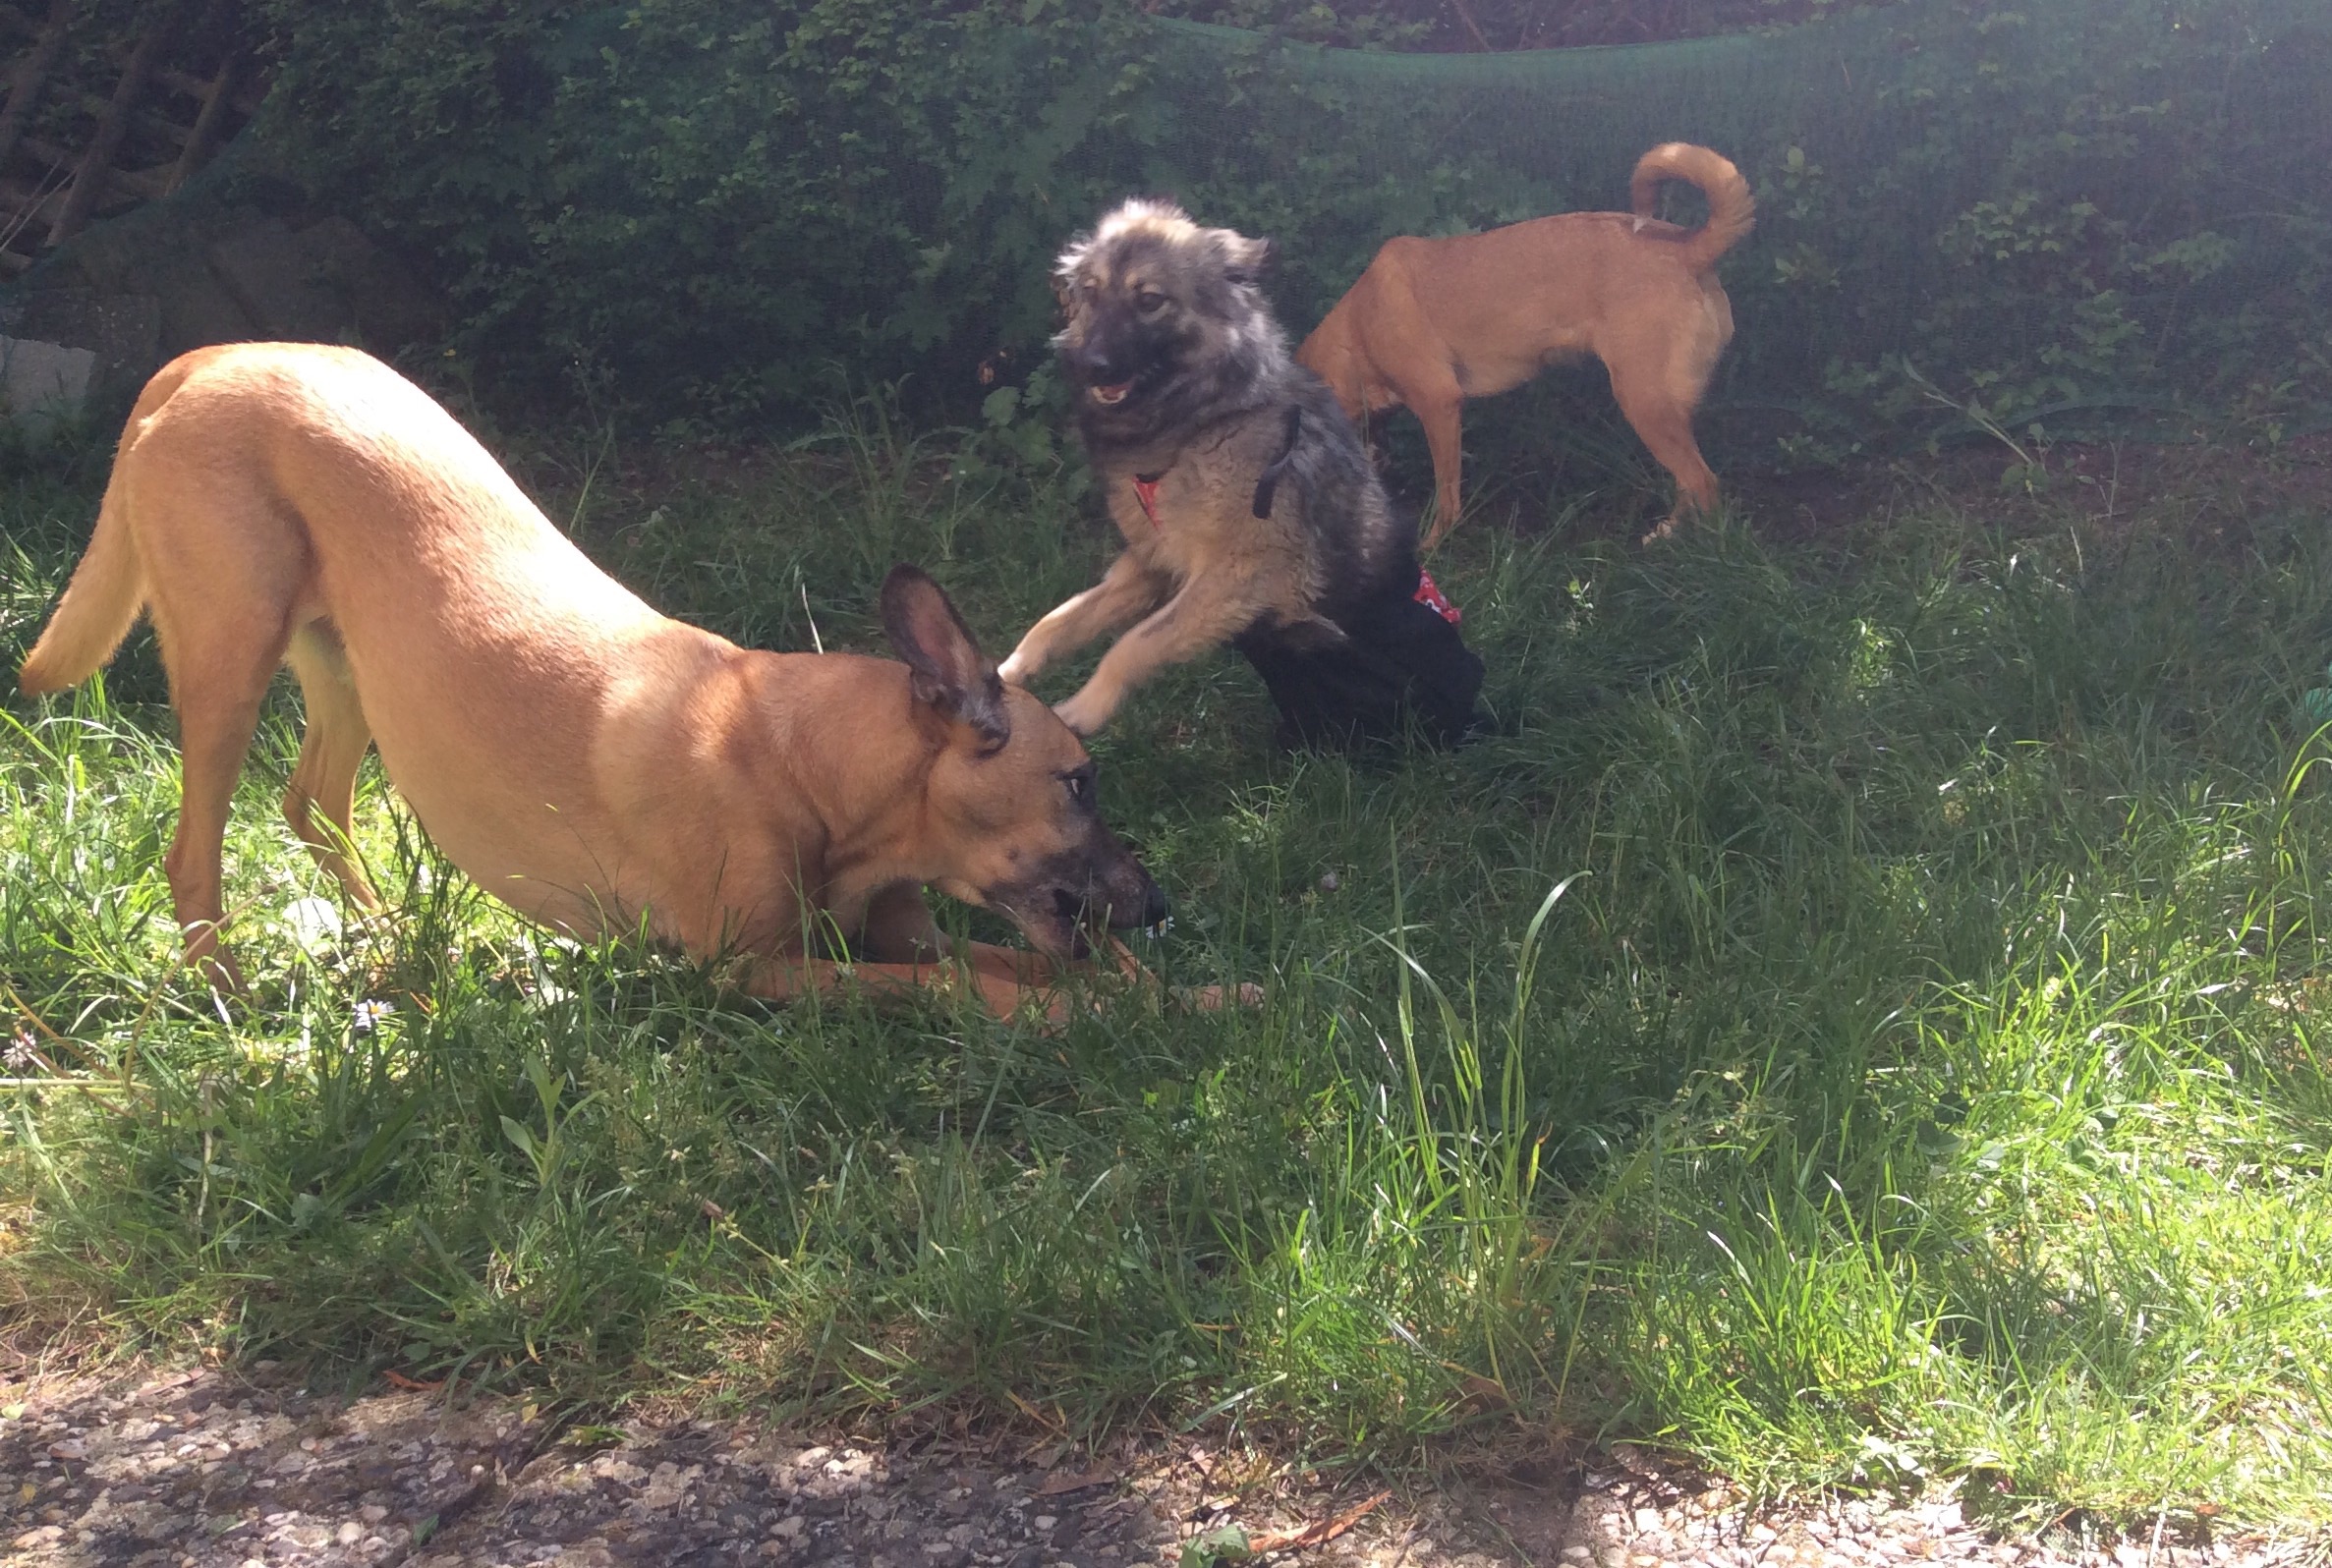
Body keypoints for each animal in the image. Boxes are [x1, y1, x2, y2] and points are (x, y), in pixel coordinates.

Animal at [17, 343, 1199, 1022]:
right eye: (1079, 782)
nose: (1158, 907)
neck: (801, 760)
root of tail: (214, 355)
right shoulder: (754, 968)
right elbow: (977, 987)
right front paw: (1107, 1011)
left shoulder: (896, 924)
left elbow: (1029, 963)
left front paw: (1183, 992)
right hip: (231, 653)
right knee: (196, 853)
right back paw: (226, 992)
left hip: (347, 667)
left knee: (313, 802)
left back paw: (387, 942)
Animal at [998, 199, 1485, 750]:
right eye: (1091, 293)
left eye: (1150, 300)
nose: (1089, 364)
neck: (1203, 421)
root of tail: (1472, 712)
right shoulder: (1150, 567)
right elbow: (1058, 621)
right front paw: (1006, 672)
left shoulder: (1246, 574)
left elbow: (1133, 644)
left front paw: (1085, 707)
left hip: (1313, 640)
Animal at [1296, 142, 1754, 547]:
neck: (1356, 329)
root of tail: (1691, 250)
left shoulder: (1439, 404)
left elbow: (1447, 498)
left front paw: (1433, 546)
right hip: (1664, 410)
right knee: (1688, 483)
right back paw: (1669, 535)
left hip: (1644, 401)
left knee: (1703, 482)